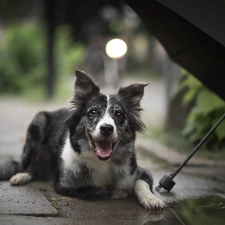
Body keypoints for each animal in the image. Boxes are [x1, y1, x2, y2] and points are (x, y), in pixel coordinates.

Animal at [0, 70, 165, 209]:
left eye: (119, 114)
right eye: (93, 112)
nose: (106, 128)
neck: (101, 162)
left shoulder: (140, 172)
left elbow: (141, 183)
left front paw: (151, 199)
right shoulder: (64, 185)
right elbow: (95, 191)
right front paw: (118, 192)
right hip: (38, 123)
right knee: (26, 166)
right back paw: (21, 176)